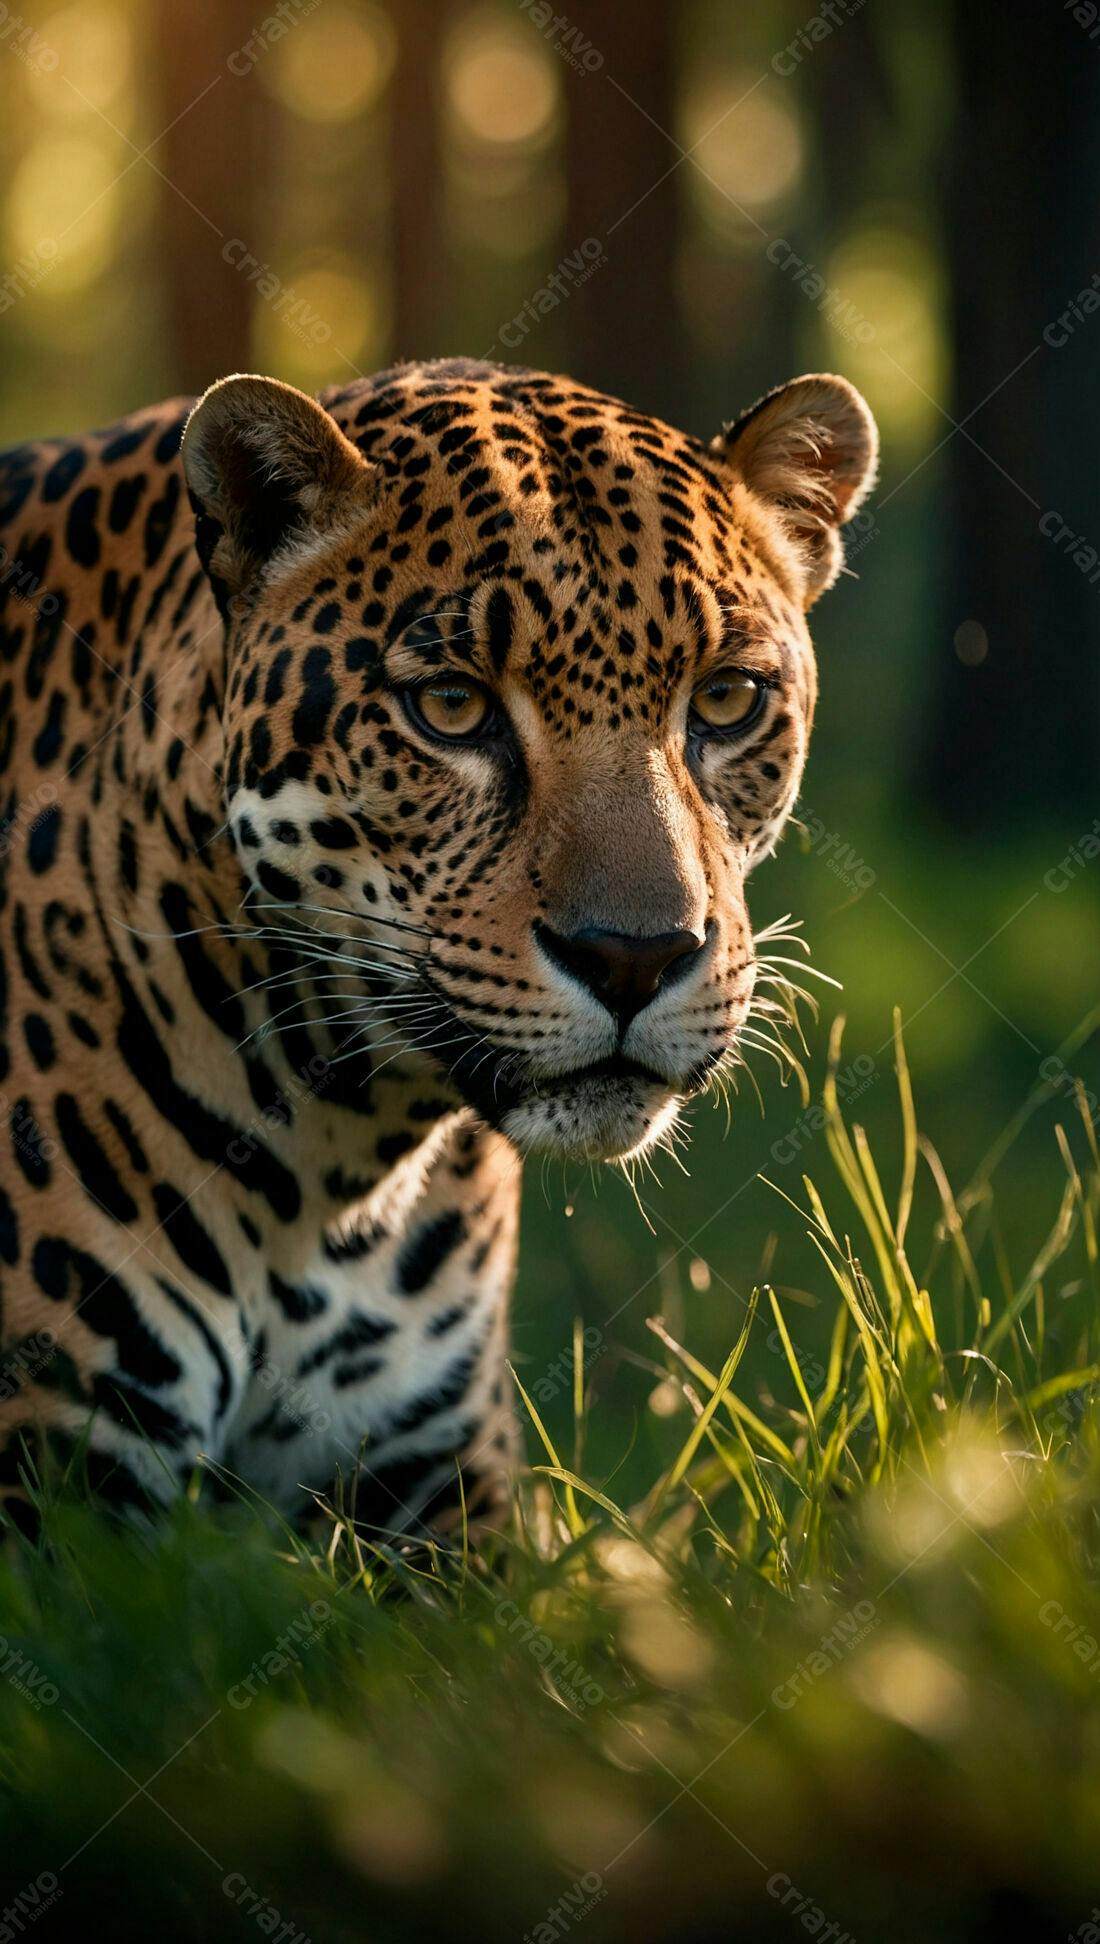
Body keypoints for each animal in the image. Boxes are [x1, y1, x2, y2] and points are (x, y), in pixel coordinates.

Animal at [0, 357, 877, 1536]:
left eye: (728, 700)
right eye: (452, 707)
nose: (635, 958)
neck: (334, 1160)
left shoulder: (447, 1482)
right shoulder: (58, 1481)